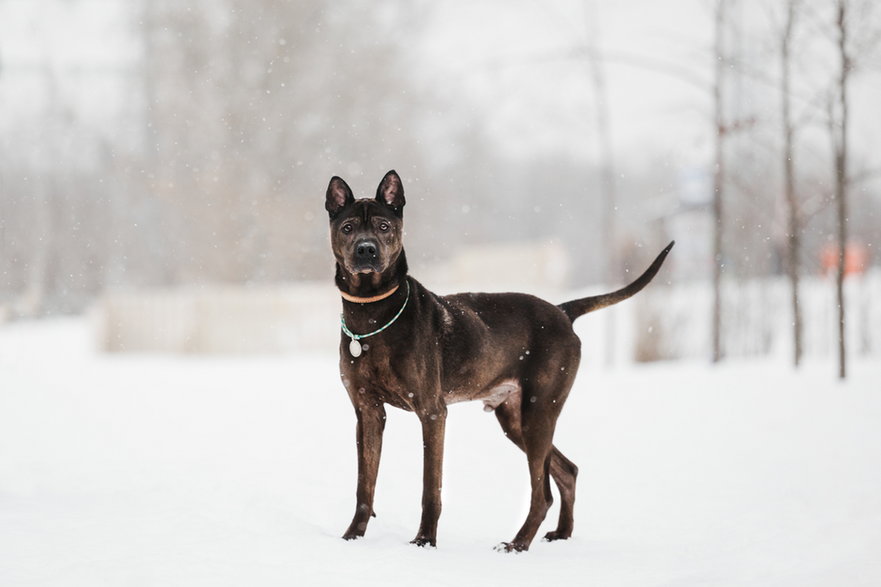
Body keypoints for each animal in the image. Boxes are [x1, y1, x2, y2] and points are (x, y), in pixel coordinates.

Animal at [324, 169, 672, 552]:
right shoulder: (367, 412)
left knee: (542, 493)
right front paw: (352, 537)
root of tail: (562, 313)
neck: (371, 312)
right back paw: (561, 534)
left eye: (384, 226)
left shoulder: (432, 412)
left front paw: (425, 541)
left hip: (539, 412)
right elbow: (364, 485)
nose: (366, 250)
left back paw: (517, 544)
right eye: (348, 227)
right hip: (516, 420)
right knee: (567, 471)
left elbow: (431, 487)